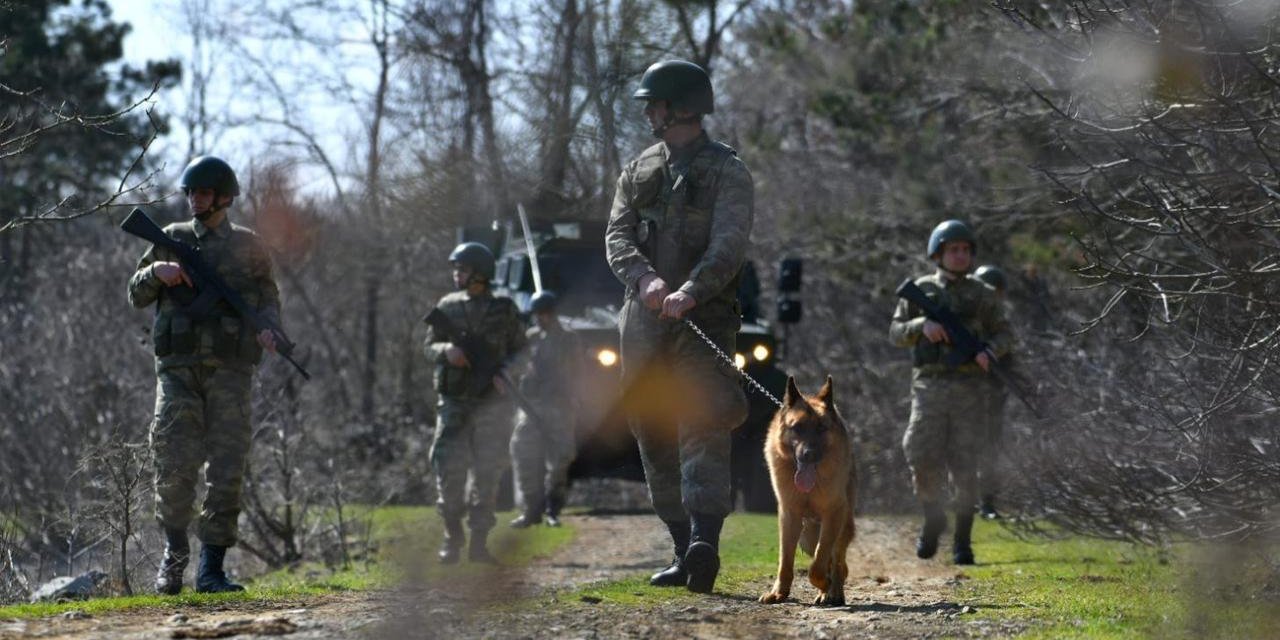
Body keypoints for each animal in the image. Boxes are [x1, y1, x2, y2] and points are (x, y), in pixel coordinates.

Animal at [752, 376, 855, 606]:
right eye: (797, 427)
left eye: (821, 428)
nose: (809, 454)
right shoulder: (789, 516)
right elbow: (785, 560)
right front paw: (779, 592)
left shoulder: (833, 514)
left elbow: (819, 562)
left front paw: (825, 585)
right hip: (807, 537)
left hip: (841, 525)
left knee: (838, 561)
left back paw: (833, 591)